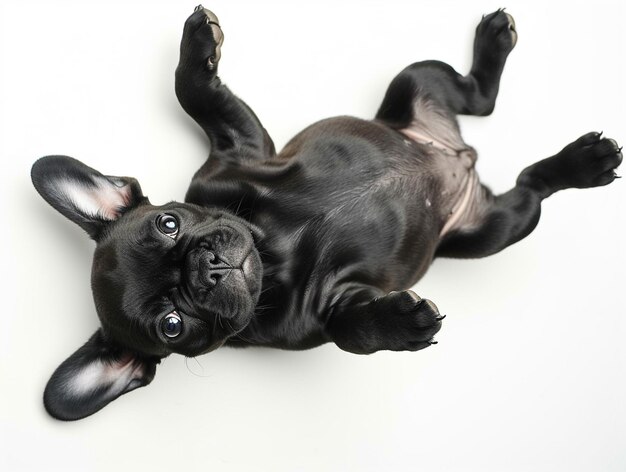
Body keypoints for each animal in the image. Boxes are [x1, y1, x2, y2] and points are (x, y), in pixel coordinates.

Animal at [33, 6, 620, 420]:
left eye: (169, 222)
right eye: (171, 326)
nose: (206, 270)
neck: (271, 254)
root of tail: (461, 156)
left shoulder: (241, 148)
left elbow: (197, 94)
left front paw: (199, 46)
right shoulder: (328, 313)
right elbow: (352, 331)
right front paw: (400, 323)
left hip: (417, 80)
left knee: (478, 95)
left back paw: (496, 44)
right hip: (497, 229)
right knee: (527, 182)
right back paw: (582, 164)